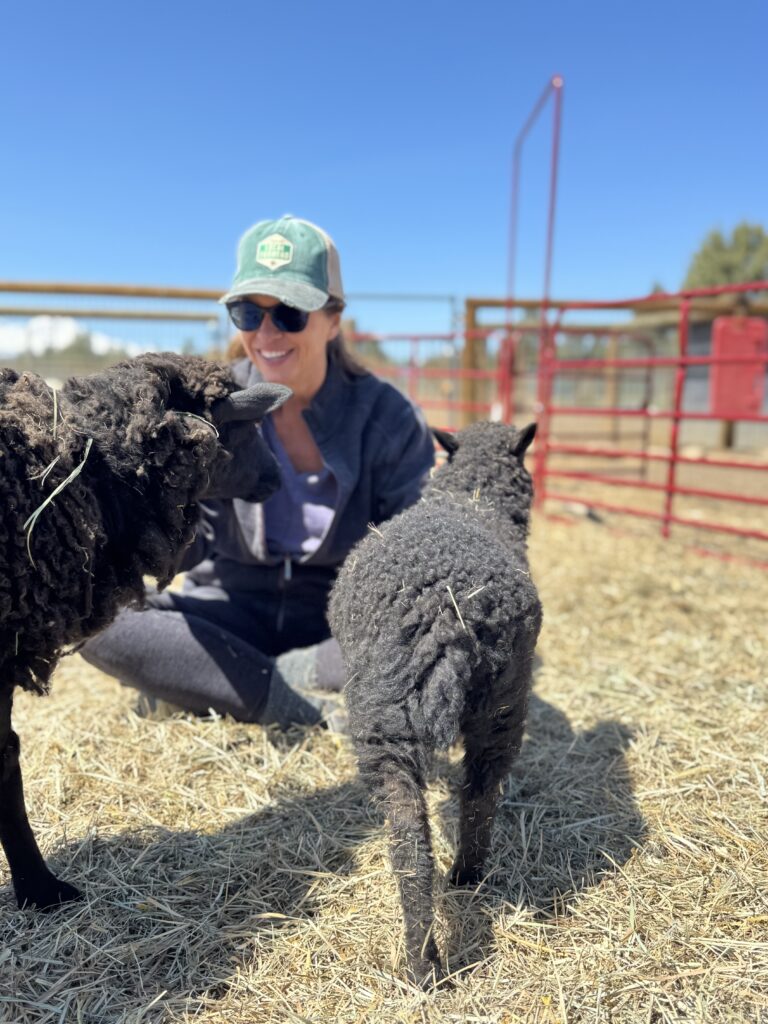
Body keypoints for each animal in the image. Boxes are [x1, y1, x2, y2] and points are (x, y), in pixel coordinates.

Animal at [328, 420, 541, 985]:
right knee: (481, 793)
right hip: (503, 705)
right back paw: (467, 876)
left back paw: (420, 960)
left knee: (409, 839)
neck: (472, 496)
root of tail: (449, 618)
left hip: (384, 717)